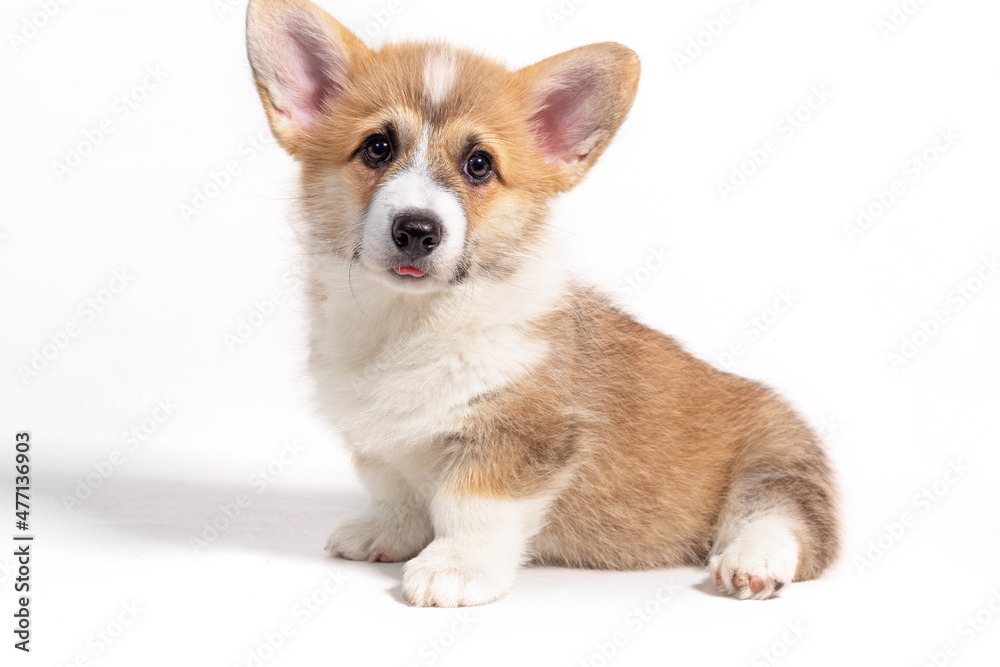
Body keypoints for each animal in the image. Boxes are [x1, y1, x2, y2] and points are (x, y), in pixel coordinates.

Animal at [246, 0, 840, 608]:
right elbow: (394, 488)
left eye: (479, 164)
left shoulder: (521, 436)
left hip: (776, 456)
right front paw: (386, 531)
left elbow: (473, 507)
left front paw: (454, 569)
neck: (412, 321)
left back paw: (752, 562)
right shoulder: (379, 440)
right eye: (377, 147)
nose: (416, 230)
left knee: (783, 518)